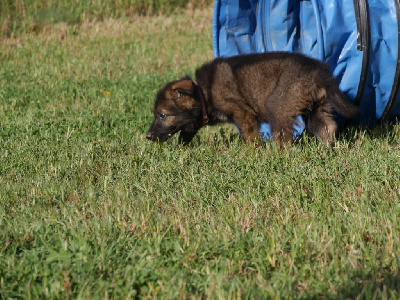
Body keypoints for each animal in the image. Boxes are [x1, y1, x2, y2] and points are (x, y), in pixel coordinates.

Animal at [147, 53, 360, 149]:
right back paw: (330, 147)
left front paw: (254, 152)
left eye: (162, 115)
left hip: (278, 104)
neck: (203, 93)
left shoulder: (243, 113)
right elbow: (186, 132)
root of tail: (319, 71)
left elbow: (250, 136)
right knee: (327, 126)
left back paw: (279, 154)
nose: (148, 136)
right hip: (317, 107)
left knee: (283, 136)